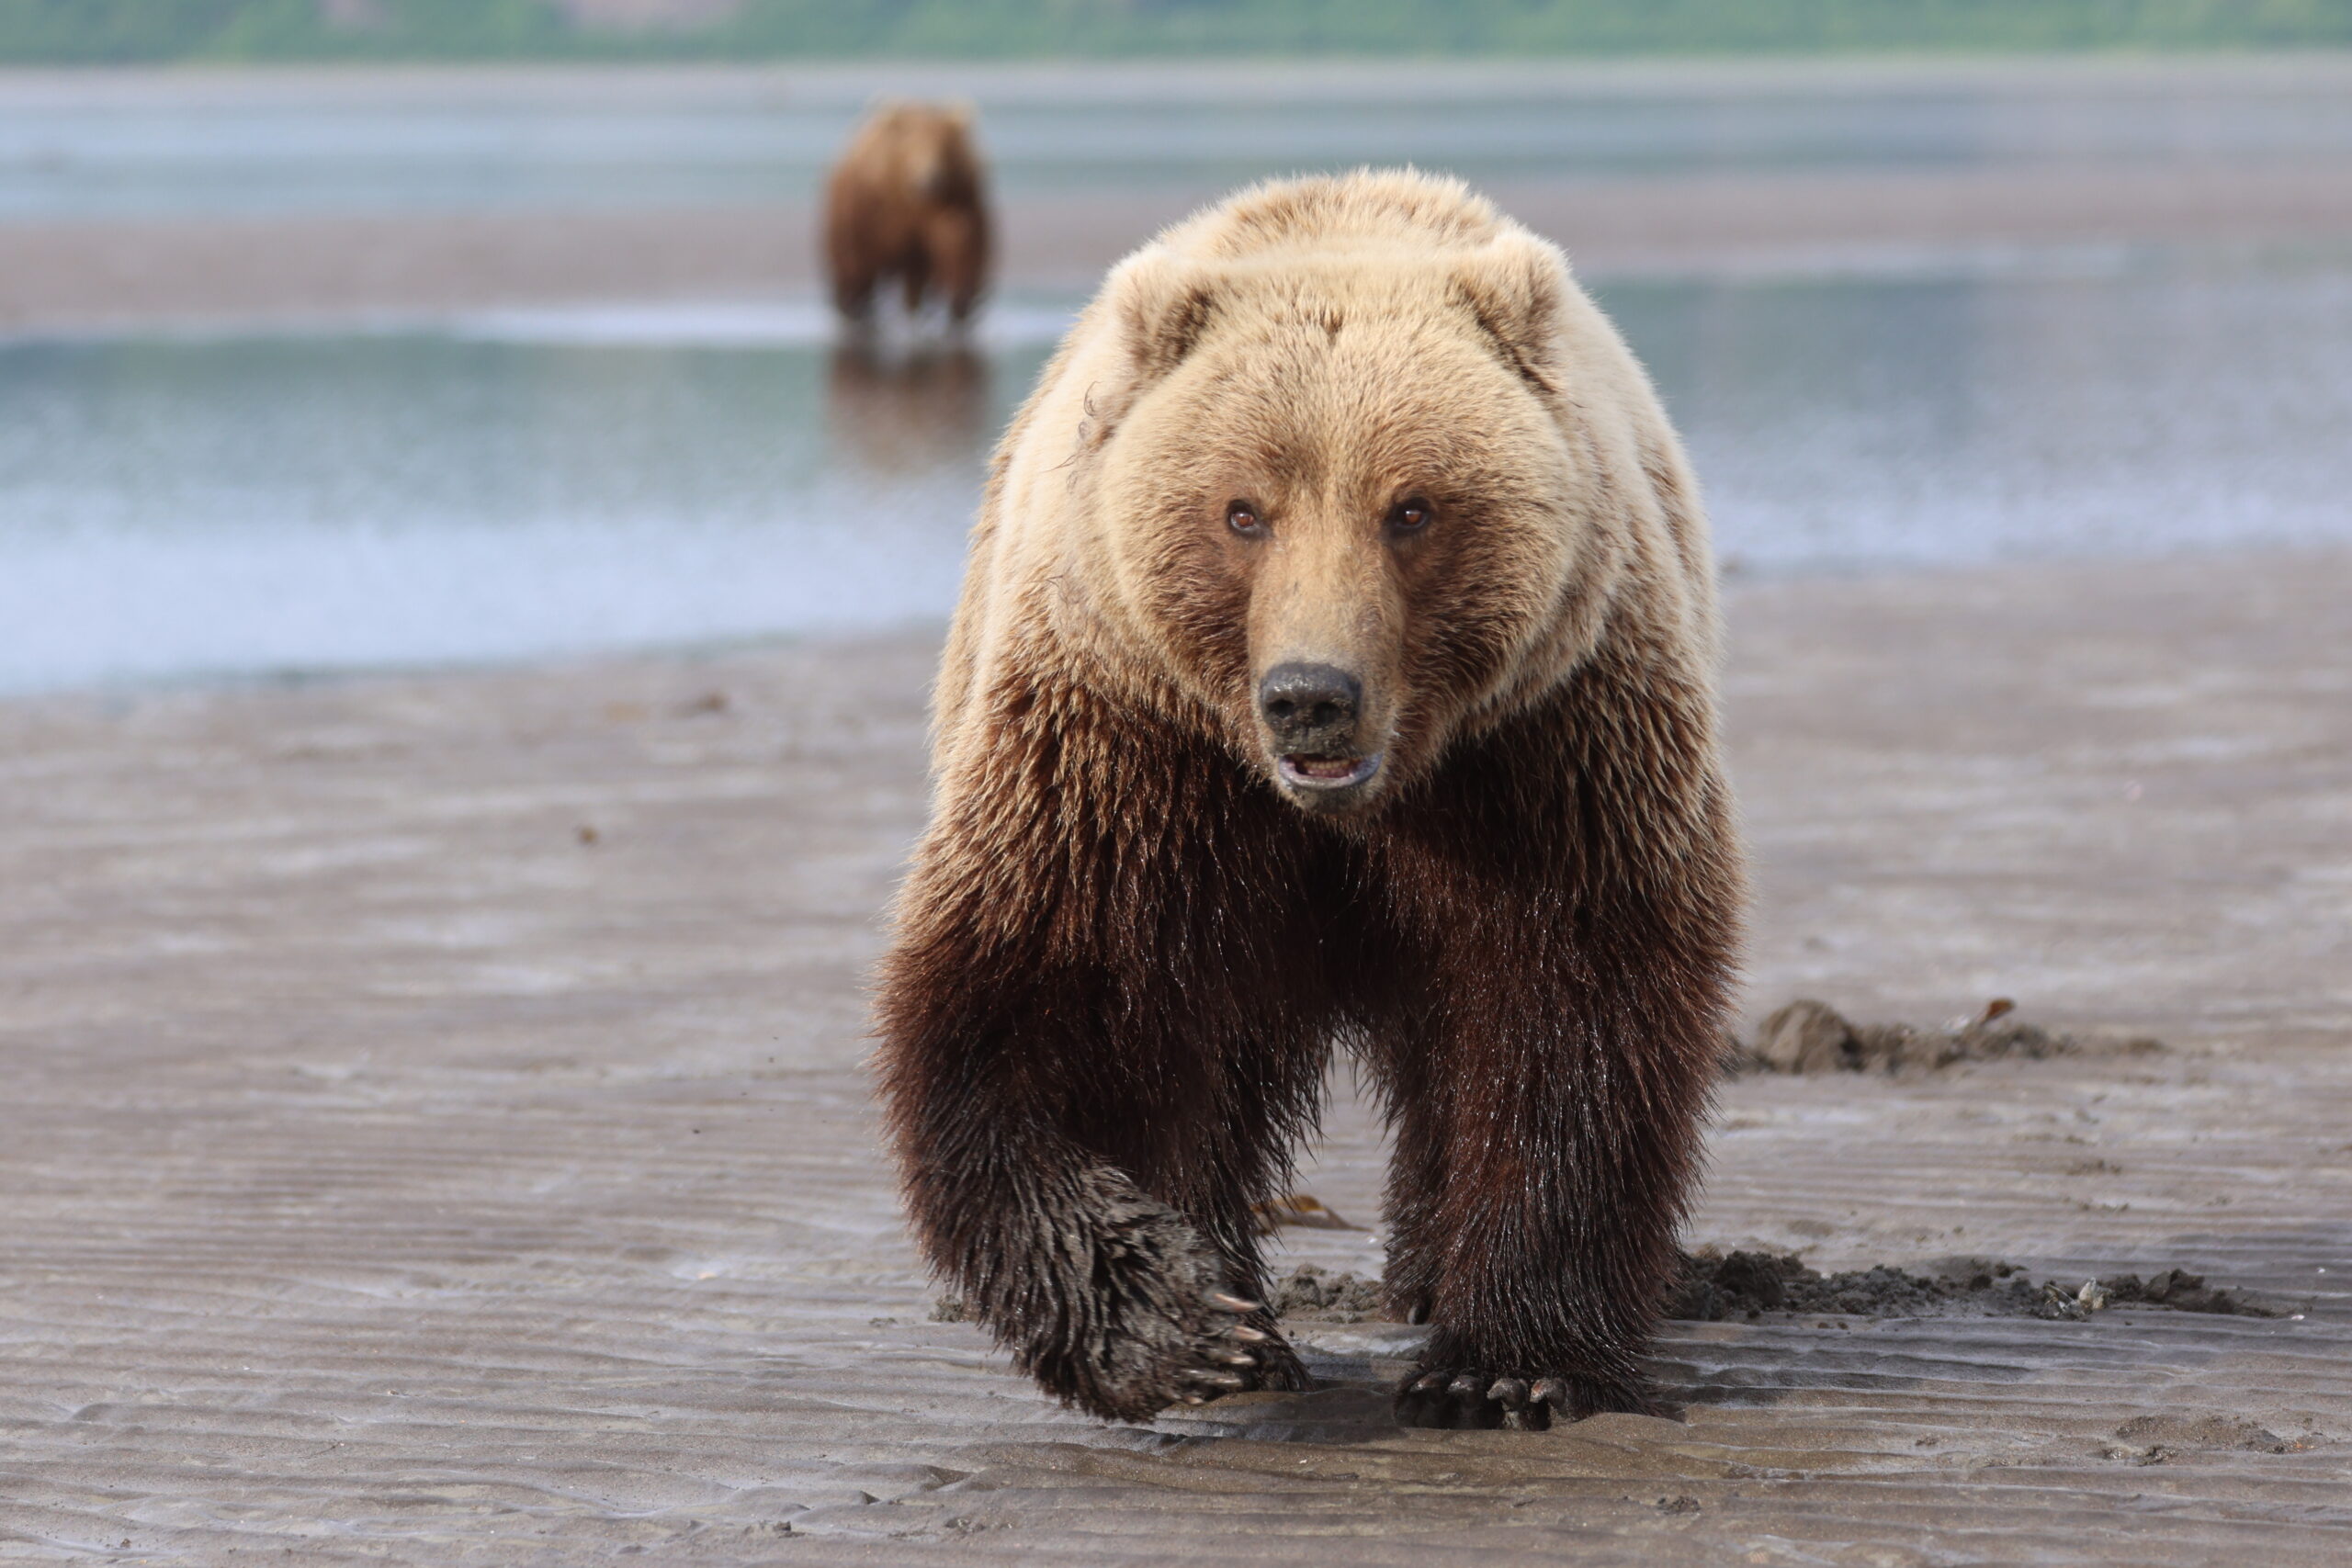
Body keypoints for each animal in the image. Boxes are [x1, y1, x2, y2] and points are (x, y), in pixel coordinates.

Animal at [823, 101, 988, 329]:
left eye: (943, 146)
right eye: (912, 148)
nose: (929, 179)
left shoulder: (957, 199)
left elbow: (960, 245)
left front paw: (961, 304)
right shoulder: (873, 207)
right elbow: (861, 256)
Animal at [875, 171, 1740, 1438]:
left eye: (1411, 506)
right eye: (1245, 510)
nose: (1309, 697)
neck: (1346, 814)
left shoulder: (1543, 753)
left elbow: (1571, 1006)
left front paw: (1501, 1364)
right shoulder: (1129, 755)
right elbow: (1030, 999)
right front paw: (1175, 1322)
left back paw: (1422, 1272)